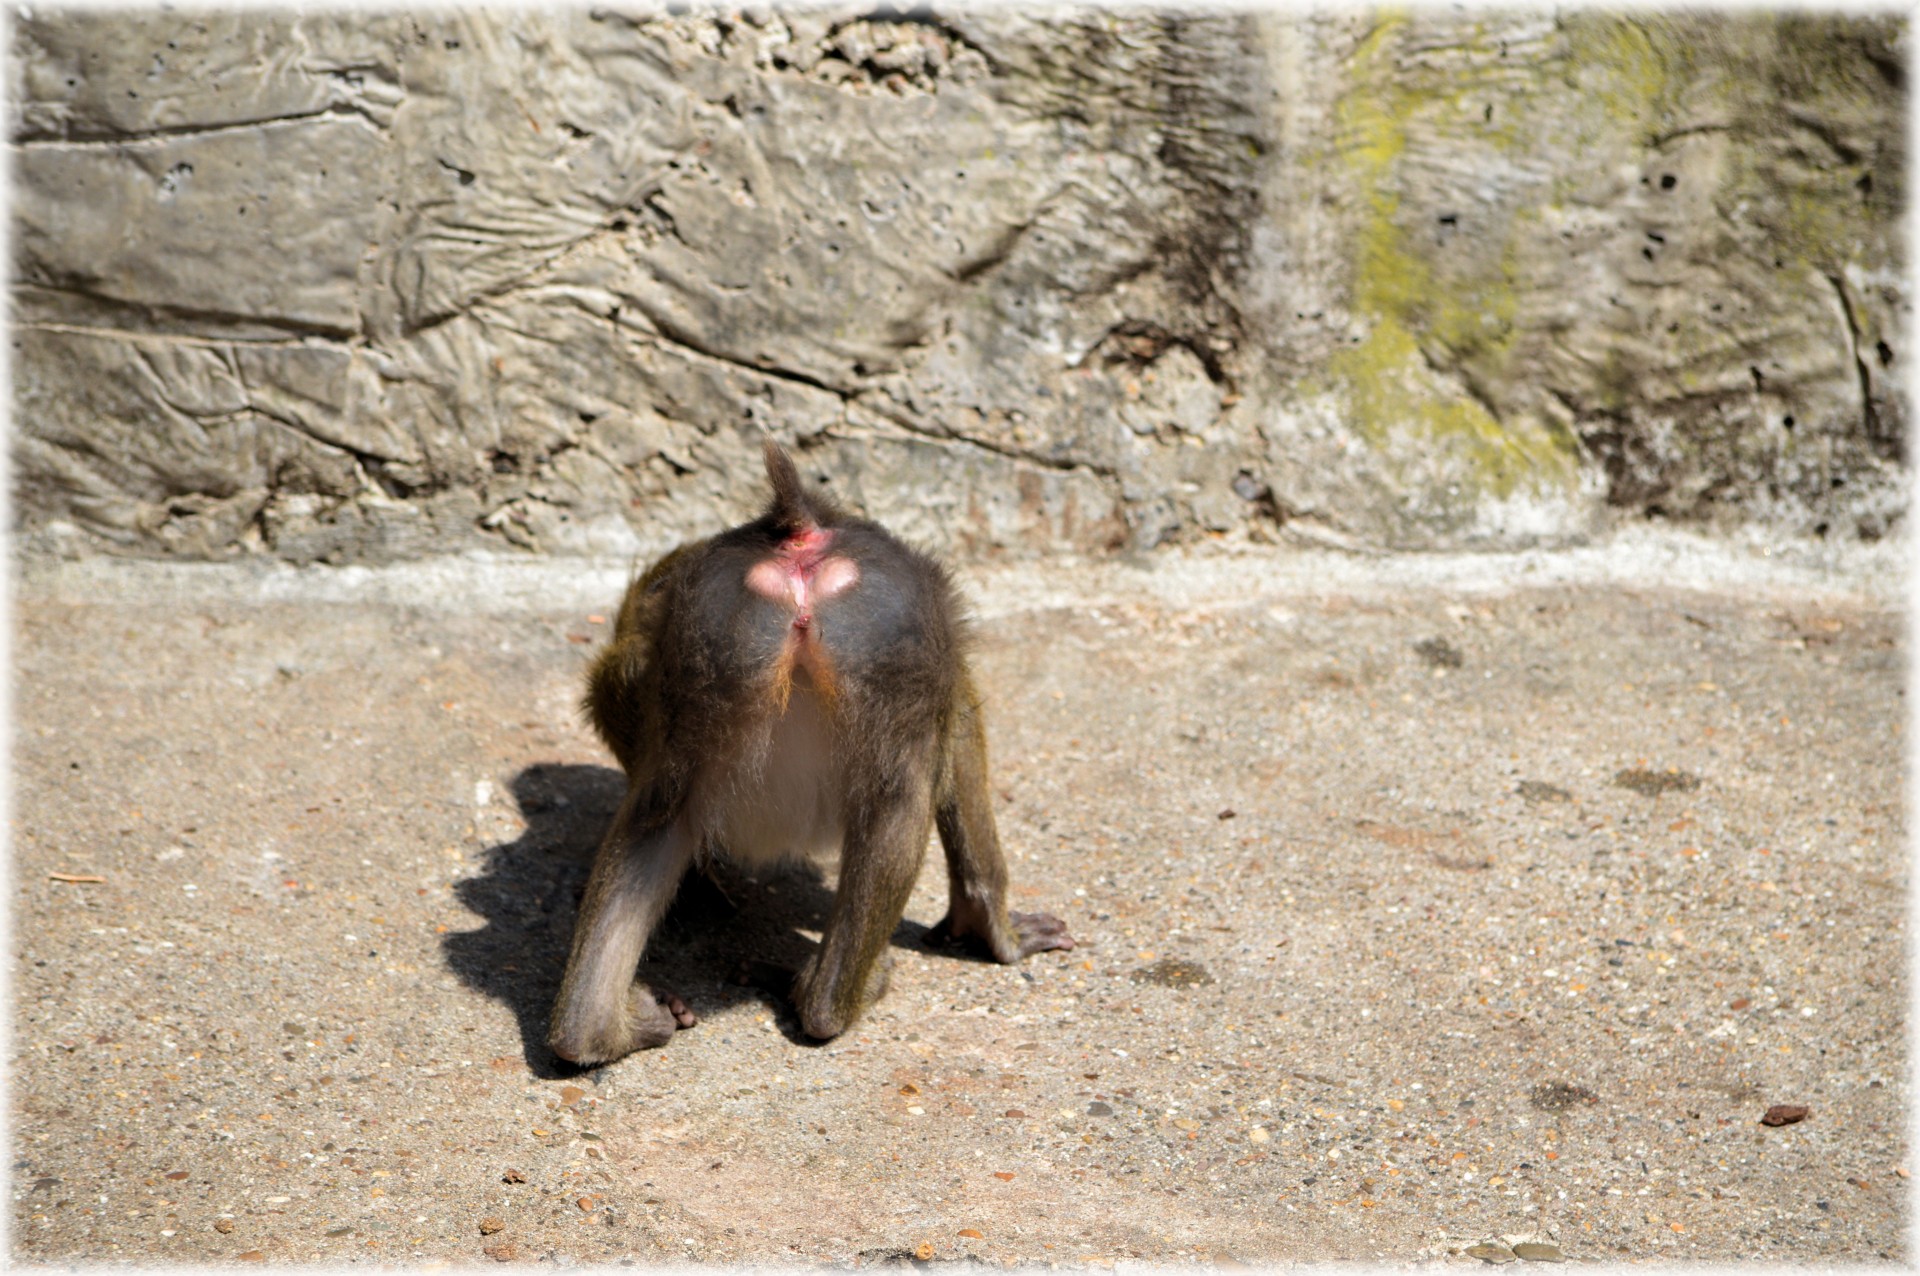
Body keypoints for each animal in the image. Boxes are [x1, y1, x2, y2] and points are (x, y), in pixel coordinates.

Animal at [549, 441, 1075, 1066]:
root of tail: (802, 536)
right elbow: (961, 731)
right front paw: (990, 929)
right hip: (875, 624)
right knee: (900, 805)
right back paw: (830, 997)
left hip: (722, 635)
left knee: (658, 815)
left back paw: (594, 1030)